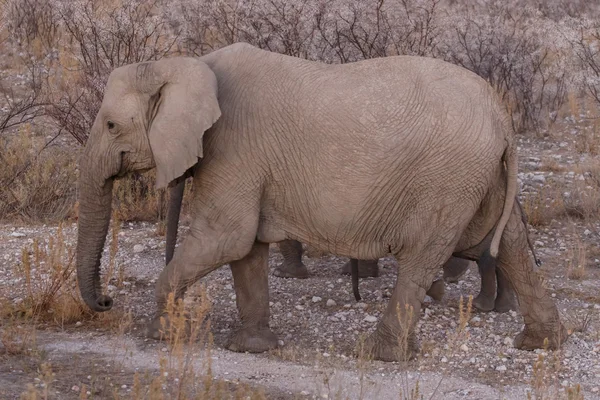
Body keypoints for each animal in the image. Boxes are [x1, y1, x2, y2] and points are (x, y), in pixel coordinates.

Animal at [75, 42, 568, 360]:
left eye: (112, 125)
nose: (107, 302)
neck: (187, 64)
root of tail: (502, 116)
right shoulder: (248, 162)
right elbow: (246, 249)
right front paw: (252, 348)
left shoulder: (234, 148)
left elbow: (226, 238)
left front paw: (156, 334)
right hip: (480, 176)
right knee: (510, 246)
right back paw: (541, 344)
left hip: (447, 178)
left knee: (423, 256)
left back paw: (380, 354)